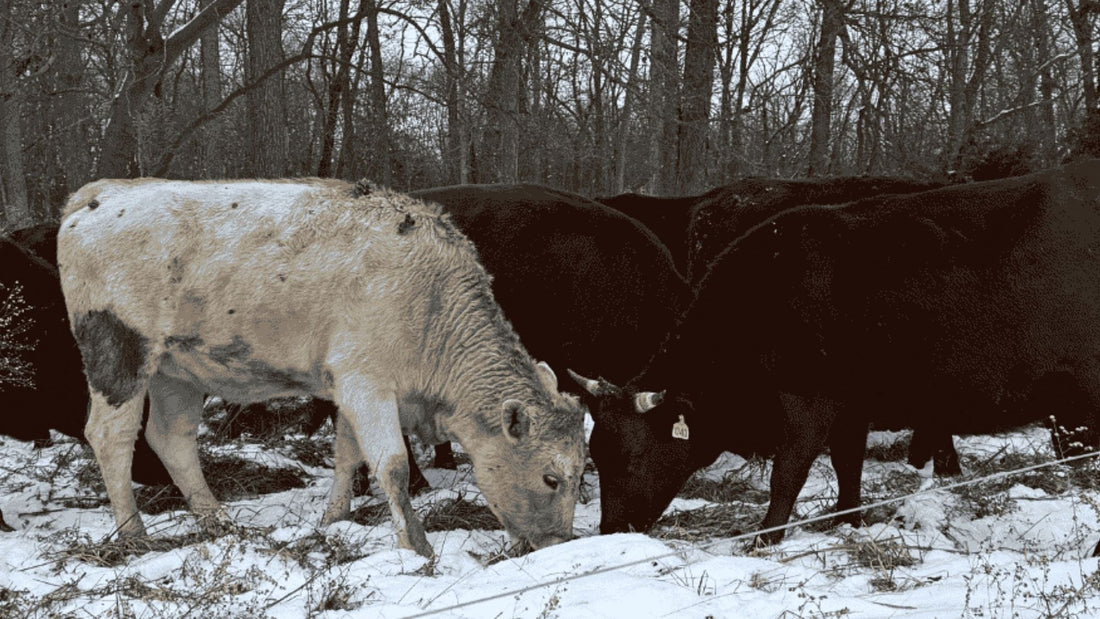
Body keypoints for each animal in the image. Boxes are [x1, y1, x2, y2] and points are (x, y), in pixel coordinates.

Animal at [57, 179, 587, 557]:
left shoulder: (349, 386)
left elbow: (348, 453)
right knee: (111, 436)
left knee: (172, 438)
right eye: (551, 478)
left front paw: (335, 518)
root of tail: (99, 195)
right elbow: (391, 464)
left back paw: (217, 520)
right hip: (120, 353)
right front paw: (417, 546)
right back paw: (133, 533)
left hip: (177, 371)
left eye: (582, 474)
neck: (430, 303)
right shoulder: (367, 383)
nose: (558, 543)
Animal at [572, 160, 1100, 552]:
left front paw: (765, 538)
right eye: (596, 453)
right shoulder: (853, 404)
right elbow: (848, 466)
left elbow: (789, 473)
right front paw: (849, 522)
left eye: (632, 459)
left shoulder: (809, 400)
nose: (609, 533)